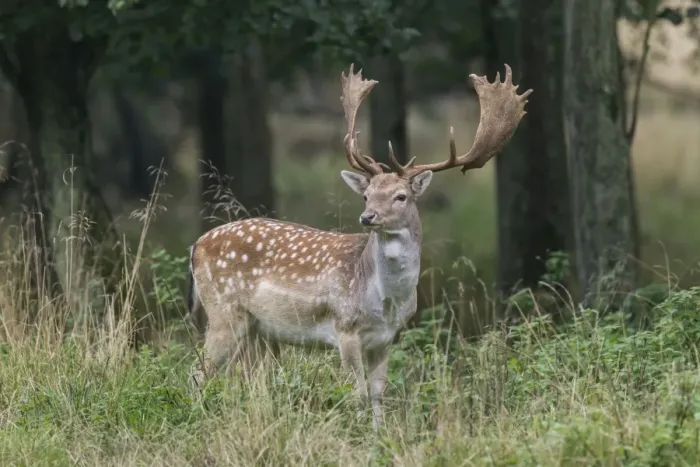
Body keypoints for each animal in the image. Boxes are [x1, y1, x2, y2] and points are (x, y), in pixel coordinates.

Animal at [187, 63, 532, 429]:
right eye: (366, 195)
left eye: (401, 196)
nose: (367, 217)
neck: (385, 300)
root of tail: (196, 246)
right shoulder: (345, 329)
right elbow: (358, 394)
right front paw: (357, 433)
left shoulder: (386, 338)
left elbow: (379, 393)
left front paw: (380, 434)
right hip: (223, 312)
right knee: (197, 372)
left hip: (252, 327)